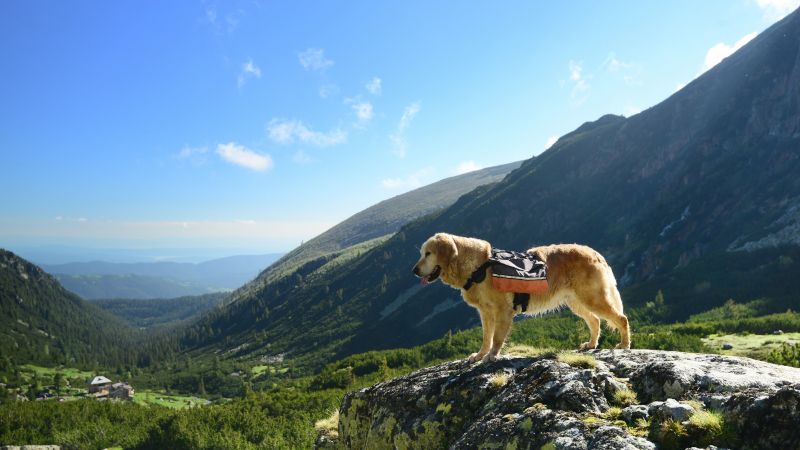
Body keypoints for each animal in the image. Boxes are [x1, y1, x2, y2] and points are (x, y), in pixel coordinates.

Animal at [412, 232, 632, 362]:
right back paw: (591, 344)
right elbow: (486, 337)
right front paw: (481, 354)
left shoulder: (503, 310)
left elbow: (497, 338)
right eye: (421, 253)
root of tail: (595, 253)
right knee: (595, 321)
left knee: (621, 318)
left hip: (592, 298)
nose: (414, 271)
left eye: (428, 253)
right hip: (576, 302)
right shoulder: (485, 313)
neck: (478, 267)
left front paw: (491, 356)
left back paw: (624, 345)